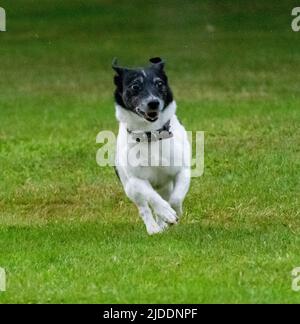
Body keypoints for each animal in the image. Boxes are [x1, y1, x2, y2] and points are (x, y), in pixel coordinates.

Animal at [112, 57, 190, 235]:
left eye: (159, 83)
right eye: (135, 86)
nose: (153, 103)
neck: (151, 134)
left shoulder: (183, 171)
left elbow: (176, 198)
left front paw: (175, 212)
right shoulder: (136, 180)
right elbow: (152, 198)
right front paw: (167, 213)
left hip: (165, 186)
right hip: (130, 188)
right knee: (144, 207)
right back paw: (153, 228)